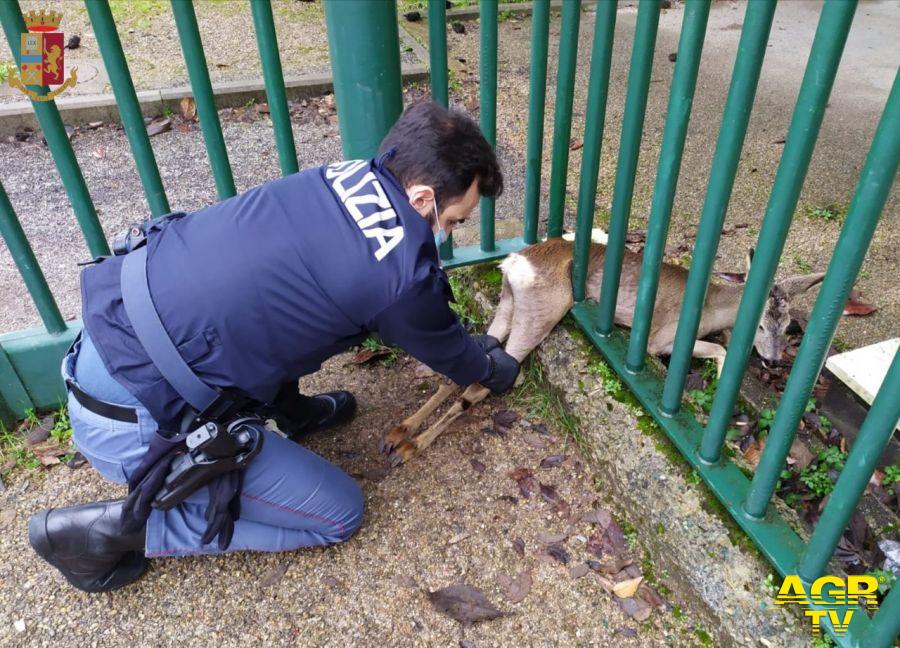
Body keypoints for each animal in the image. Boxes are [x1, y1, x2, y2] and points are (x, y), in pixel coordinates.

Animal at [380, 234, 824, 466]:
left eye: (790, 325)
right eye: (762, 324)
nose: (773, 359)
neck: (710, 309)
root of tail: (513, 263)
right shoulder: (661, 338)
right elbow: (715, 353)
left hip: (509, 303)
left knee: (467, 363)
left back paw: (400, 433)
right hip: (544, 309)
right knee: (481, 383)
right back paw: (412, 447)